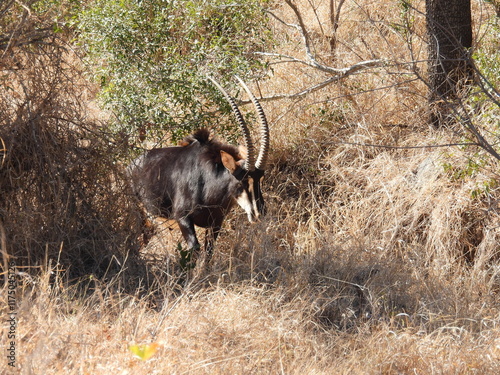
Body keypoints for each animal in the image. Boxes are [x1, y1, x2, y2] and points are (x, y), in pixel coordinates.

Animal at [129, 76, 270, 264]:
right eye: (241, 182)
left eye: (260, 179)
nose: (259, 213)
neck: (209, 185)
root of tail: (129, 166)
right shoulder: (182, 218)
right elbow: (194, 250)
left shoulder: (216, 223)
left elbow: (209, 252)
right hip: (141, 215)